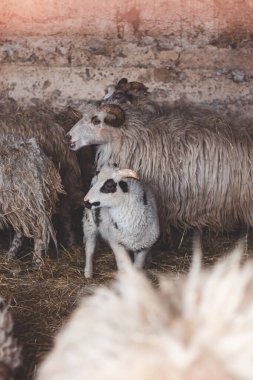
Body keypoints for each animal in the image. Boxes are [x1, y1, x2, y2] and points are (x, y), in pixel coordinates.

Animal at [0, 135, 64, 266]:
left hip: (28, 200)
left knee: (38, 230)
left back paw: (36, 262)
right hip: (23, 203)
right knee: (21, 231)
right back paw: (10, 256)